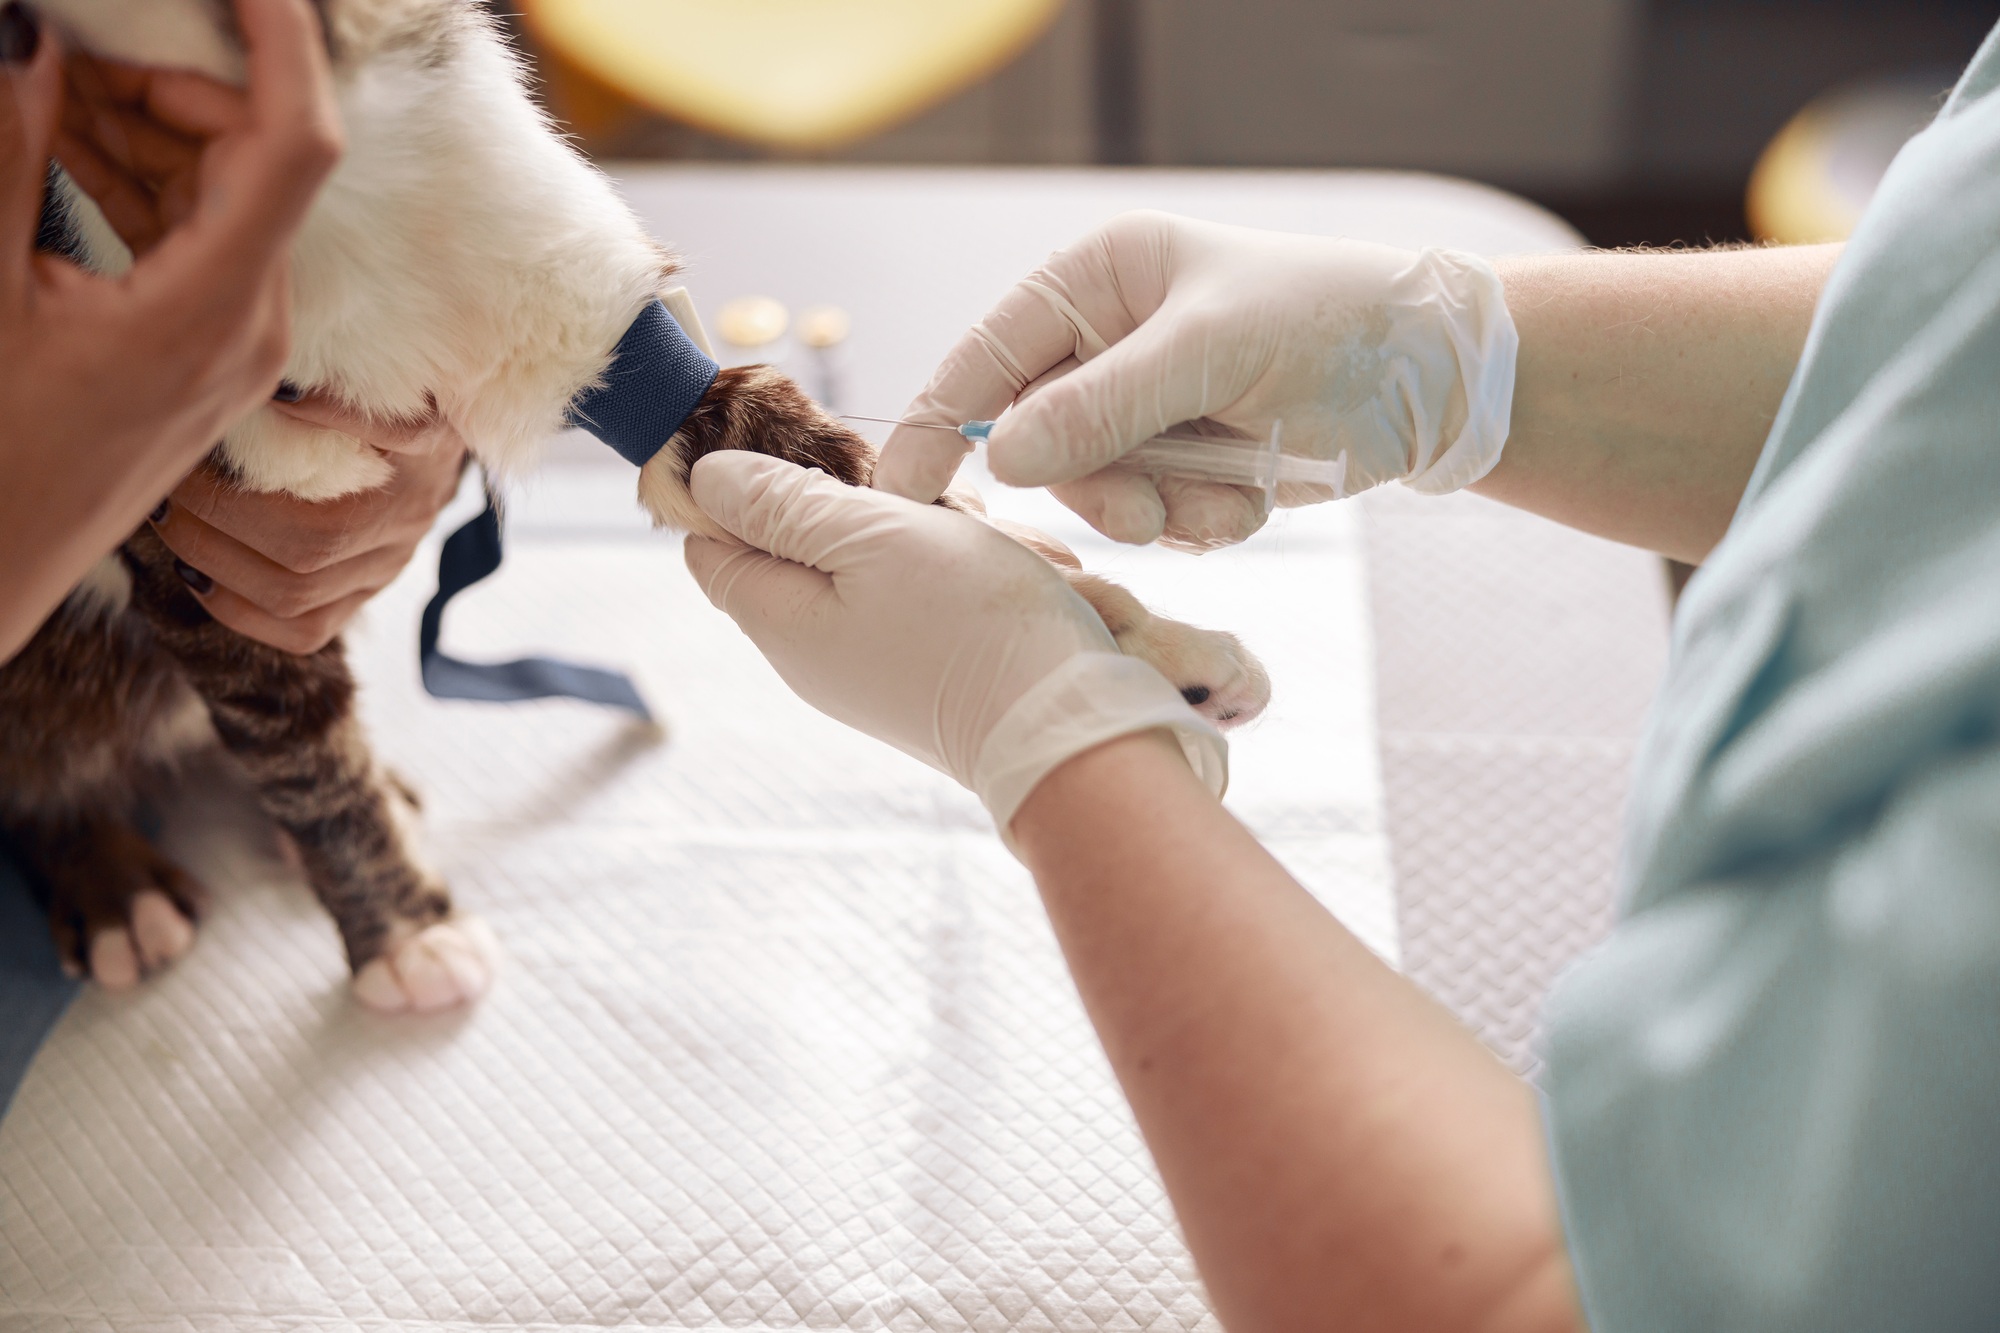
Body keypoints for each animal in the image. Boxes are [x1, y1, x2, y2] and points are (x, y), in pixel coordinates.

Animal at [0, 0, 1272, 1008]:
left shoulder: (617, 352)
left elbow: (884, 493)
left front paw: (1140, 653)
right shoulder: (216, 539)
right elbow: (305, 754)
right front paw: (404, 934)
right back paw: (112, 884)